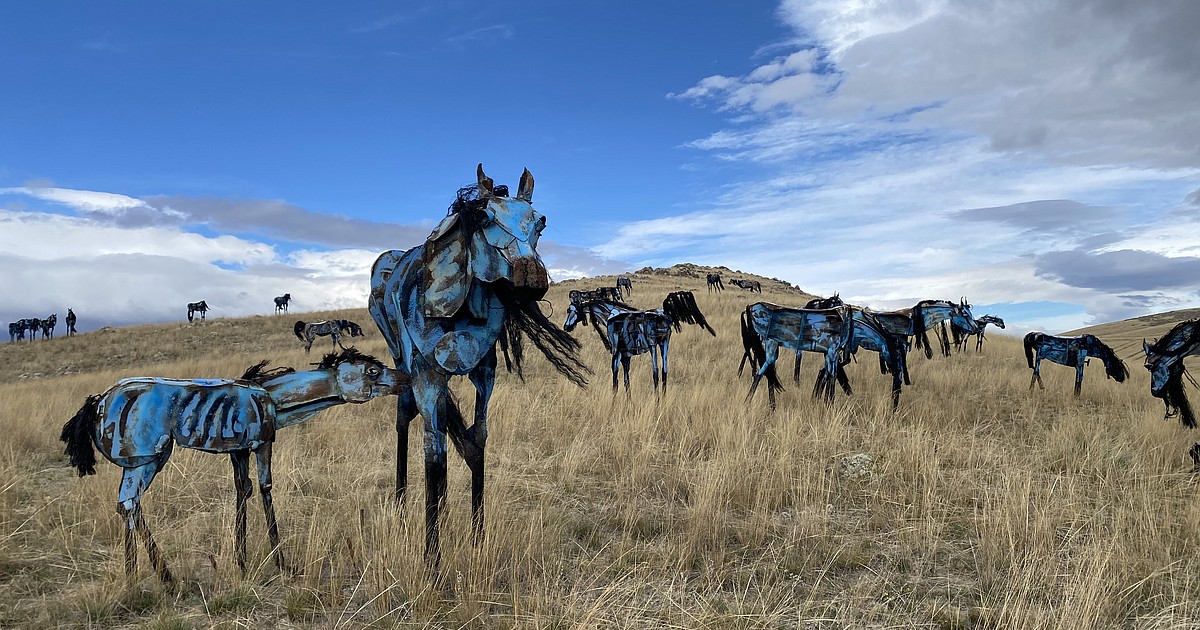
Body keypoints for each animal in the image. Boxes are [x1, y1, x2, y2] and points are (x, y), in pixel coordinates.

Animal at [59, 348, 407, 583]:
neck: (273, 398)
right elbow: (266, 488)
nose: (405, 377)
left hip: (144, 461)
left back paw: (154, 577)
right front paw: (282, 563)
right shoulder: (262, 444)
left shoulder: (238, 451)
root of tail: (99, 400)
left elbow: (244, 490)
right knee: (129, 504)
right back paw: (148, 579)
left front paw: (242, 561)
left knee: (128, 505)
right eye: (372, 371)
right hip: (145, 459)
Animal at [369, 164, 588, 568]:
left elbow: (477, 442)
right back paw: (401, 506)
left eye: (541, 222)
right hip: (403, 367)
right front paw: (433, 562)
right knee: (404, 421)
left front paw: (477, 537)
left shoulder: (486, 374)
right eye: (484, 217)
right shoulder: (427, 378)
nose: (531, 277)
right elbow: (434, 458)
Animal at [564, 290, 715, 394]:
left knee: (655, 373)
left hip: (653, 346)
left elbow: (615, 379)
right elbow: (626, 380)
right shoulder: (626, 355)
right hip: (664, 344)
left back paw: (657, 403)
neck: (611, 315)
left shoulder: (617, 353)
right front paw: (628, 402)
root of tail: (665, 313)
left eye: (571, 310)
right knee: (664, 371)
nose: (566, 327)